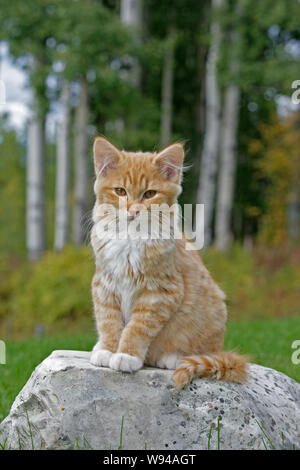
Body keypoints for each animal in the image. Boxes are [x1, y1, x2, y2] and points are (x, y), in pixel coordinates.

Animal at [89, 138, 248, 388]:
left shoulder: (159, 292)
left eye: (149, 194)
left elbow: (137, 327)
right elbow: (108, 321)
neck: (130, 238)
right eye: (120, 191)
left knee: (202, 351)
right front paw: (107, 350)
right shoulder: (104, 285)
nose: (133, 211)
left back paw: (172, 358)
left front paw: (126, 355)